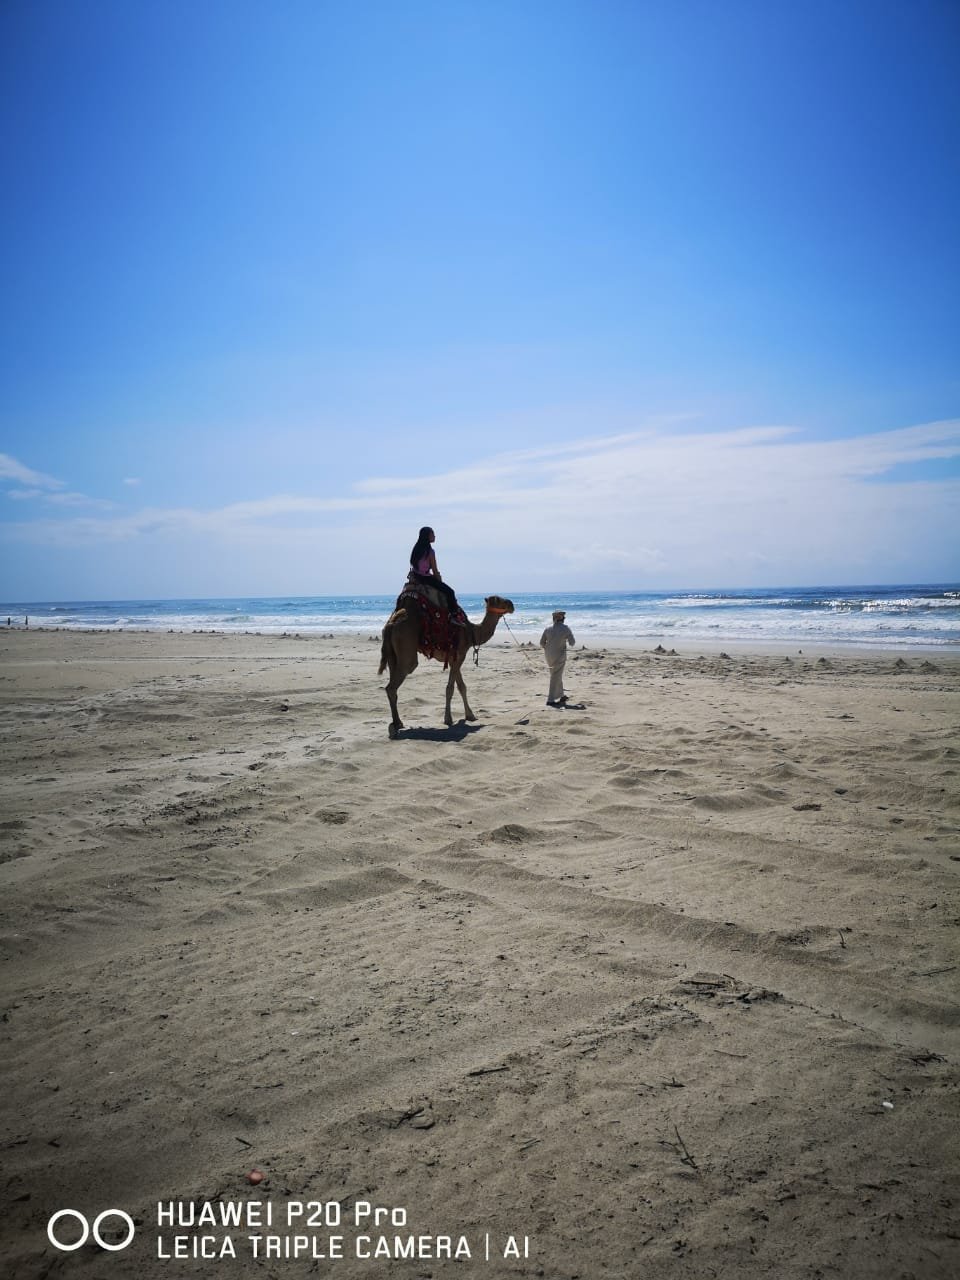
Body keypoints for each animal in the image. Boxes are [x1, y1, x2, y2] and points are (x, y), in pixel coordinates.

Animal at [381, 591, 519, 737]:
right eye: (498, 600)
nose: (511, 604)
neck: (471, 632)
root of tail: (391, 625)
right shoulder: (460, 655)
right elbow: (450, 688)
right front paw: (448, 719)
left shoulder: (454, 659)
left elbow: (461, 686)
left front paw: (470, 715)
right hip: (406, 648)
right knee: (394, 684)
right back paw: (395, 726)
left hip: (392, 655)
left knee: (392, 684)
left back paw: (398, 723)